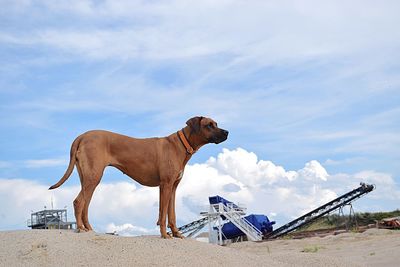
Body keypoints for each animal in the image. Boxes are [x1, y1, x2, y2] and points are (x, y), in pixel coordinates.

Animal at [49, 116, 228, 239]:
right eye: (209, 125)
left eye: (216, 123)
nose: (227, 132)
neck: (181, 145)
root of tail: (82, 136)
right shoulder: (165, 185)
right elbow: (163, 214)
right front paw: (165, 235)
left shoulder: (173, 187)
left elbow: (171, 213)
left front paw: (176, 233)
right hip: (93, 177)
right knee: (78, 202)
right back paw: (80, 228)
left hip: (88, 178)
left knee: (85, 205)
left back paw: (89, 229)